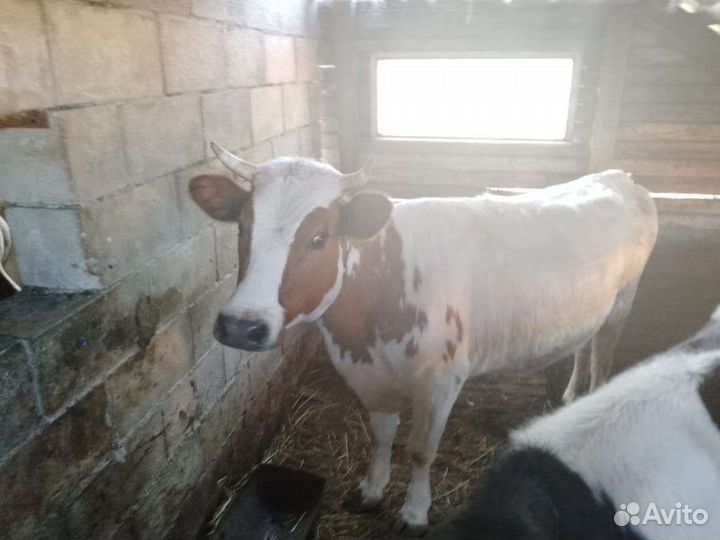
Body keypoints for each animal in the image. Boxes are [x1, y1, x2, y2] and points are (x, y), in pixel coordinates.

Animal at [188, 142, 658, 533]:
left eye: (320, 238)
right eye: (242, 228)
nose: (241, 325)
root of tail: (619, 176)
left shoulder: (441, 379)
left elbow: (420, 450)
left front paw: (414, 513)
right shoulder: (365, 372)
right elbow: (381, 435)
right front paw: (371, 491)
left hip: (623, 303)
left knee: (602, 359)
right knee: (583, 348)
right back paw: (569, 398)